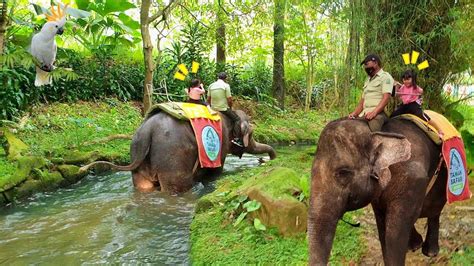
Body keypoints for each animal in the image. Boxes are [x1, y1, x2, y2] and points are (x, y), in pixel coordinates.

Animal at [80, 109, 274, 192]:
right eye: (252, 132)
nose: (264, 160)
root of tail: (147, 131)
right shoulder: (222, 139)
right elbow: (216, 169)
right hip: (173, 160)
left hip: (139, 158)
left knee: (143, 187)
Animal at [308, 118, 448, 266]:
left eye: (343, 173)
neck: (377, 132)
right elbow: (383, 227)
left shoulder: (412, 182)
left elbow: (394, 235)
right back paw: (415, 245)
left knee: (434, 211)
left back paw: (430, 252)